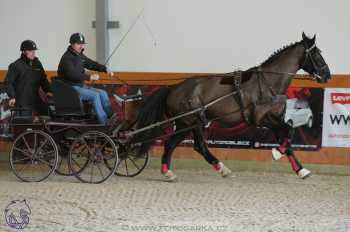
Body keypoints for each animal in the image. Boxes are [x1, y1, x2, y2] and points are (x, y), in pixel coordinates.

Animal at [133, 32, 330, 181]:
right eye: (317, 54)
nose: (327, 74)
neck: (268, 83)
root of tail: (173, 88)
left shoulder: (275, 119)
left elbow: (288, 138)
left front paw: (301, 170)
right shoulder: (262, 119)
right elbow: (289, 132)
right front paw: (276, 153)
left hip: (188, 123)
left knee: (184, 145)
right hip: (190, 122)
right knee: (187, 145)